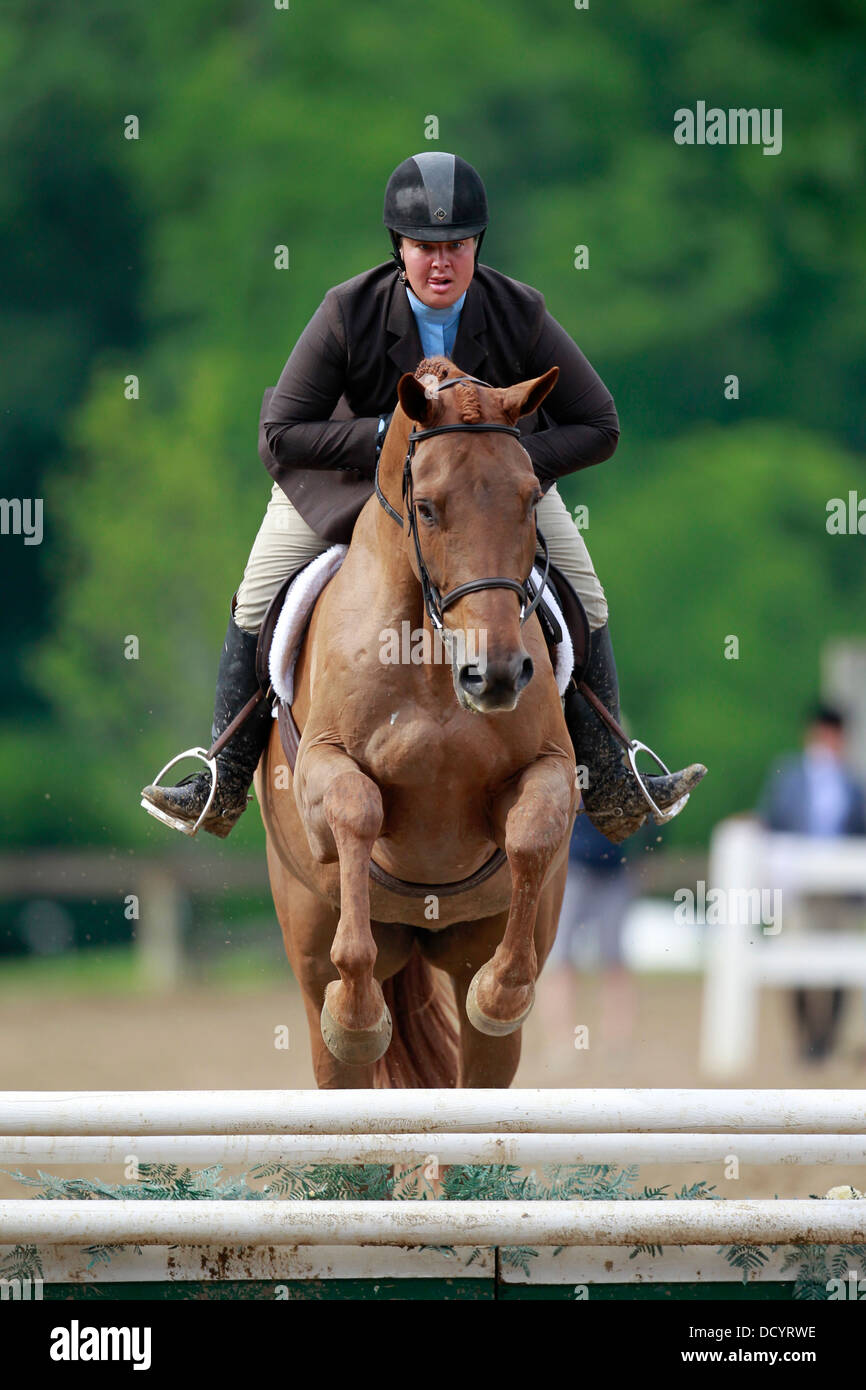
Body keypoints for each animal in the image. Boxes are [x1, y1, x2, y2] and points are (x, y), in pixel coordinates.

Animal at [254, 356, 577, 1089]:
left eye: (528, 501)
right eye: (427, 508)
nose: (496, 675)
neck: (429, 657)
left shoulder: (550, 767)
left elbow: (532, 829)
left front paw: (502, 991)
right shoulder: (320, 767)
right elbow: (357, 809)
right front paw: (356, 1014)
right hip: (306, 947)